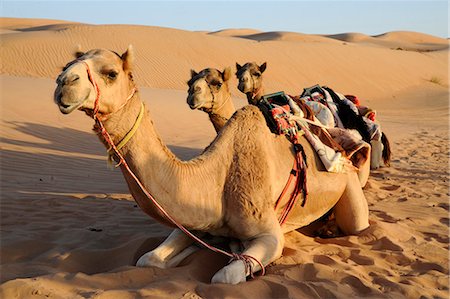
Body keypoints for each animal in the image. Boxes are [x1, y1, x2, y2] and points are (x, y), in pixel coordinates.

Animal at [54, 47, 368, 286]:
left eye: (111, 73)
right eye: (66, 65)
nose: (63, 82)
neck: (219, 176)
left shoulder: (269, 234)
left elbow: (224, 277)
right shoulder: (191, 220)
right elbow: (147, 258)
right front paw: (197, 248)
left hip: (350, 188)